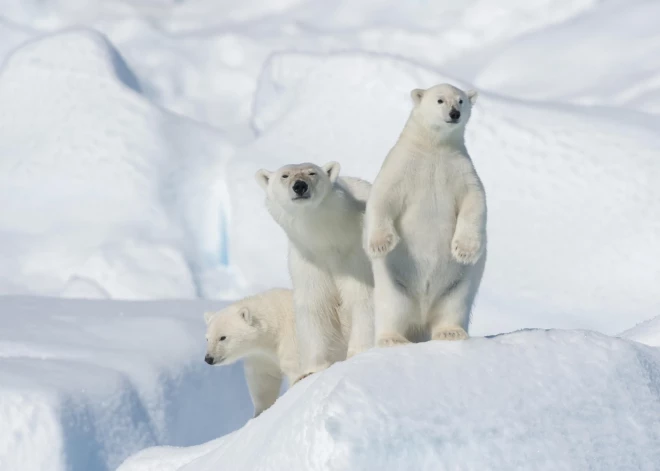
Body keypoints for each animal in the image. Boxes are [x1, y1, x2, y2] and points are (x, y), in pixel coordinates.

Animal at [204, 290, 296, 418]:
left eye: (222, 337)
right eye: (207, 339)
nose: (208, 358)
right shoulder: (261, 357)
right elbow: (263, 382)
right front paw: (258, 414)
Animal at [255, 162, 374, 380]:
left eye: (312, 172)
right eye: (285, 175)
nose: (300, 186)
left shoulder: (357, 255)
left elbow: (363, 296)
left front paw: (360, 352)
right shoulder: (309, 261)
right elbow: (314, 305)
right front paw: (312, 369)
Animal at [364, 83, 488, 346]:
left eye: (461, 100)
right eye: (440, 100)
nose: (454, 113)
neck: (434, 147)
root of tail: (422, 315)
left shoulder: (460, 169)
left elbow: (474, 200)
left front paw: (464, 250)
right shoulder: (402, 166)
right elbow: (383, 196)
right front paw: (381, 244)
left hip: (457, 284)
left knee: (454, 305)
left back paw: (450, 332)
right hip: (395, 283)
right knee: (391, 308)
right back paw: (392, 338)